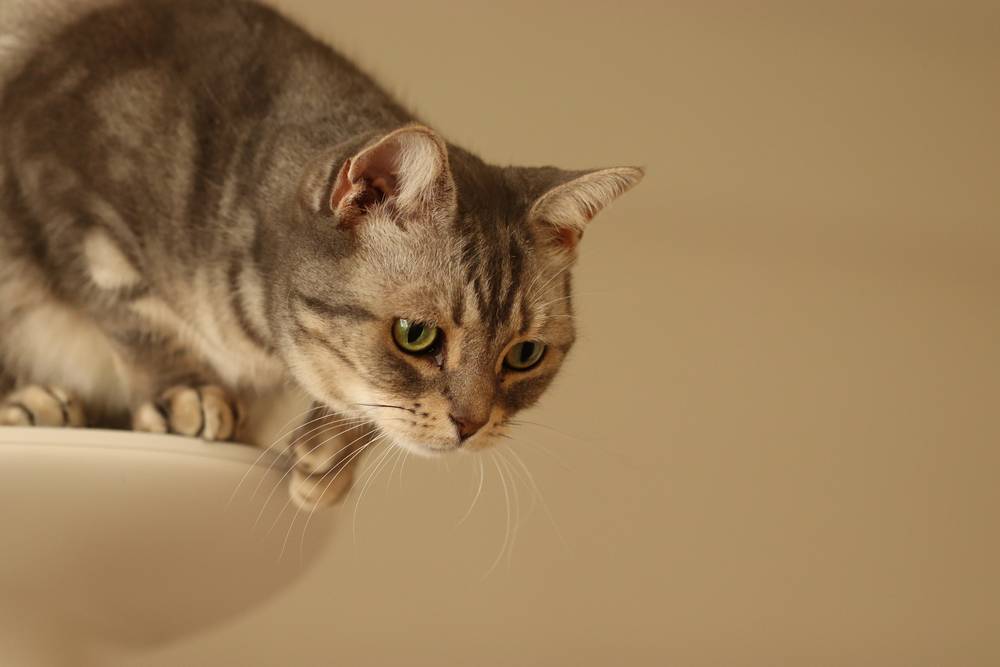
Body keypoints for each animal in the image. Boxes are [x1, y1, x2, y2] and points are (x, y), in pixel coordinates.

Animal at [0, 0, 640, 508]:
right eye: (415, 336)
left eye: (526, 354)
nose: (471, 424)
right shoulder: (64, 186)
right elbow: (133, 311)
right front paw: (187, 394)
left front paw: (328, 452)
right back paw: (37, 405)